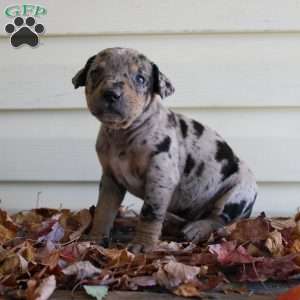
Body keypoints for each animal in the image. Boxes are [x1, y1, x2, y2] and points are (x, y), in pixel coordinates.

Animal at [72, 47, 258, 253]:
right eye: (95, 72)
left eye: (140, 78)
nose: (111, 93)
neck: (123, 133)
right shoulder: (110, 179)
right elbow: (104, 210)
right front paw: (96, 238)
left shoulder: (160, 177)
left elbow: (150, 213)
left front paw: (143, 244)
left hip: (238, 193)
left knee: (220, 219)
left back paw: (197, 229)